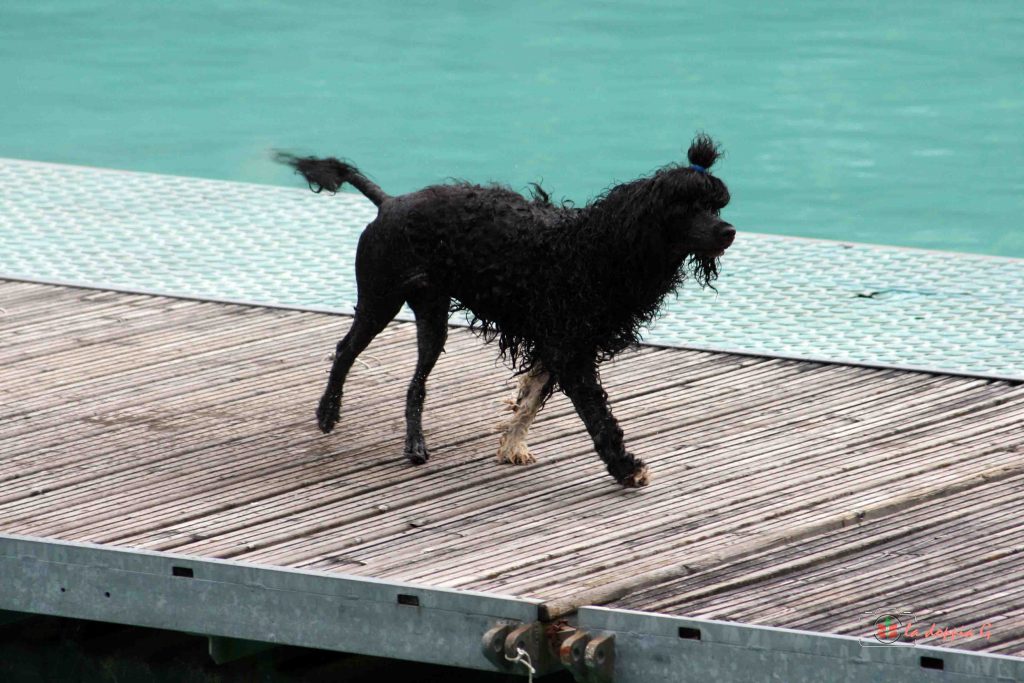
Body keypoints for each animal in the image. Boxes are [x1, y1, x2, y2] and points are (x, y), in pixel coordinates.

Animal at [276, 135, 733, 485]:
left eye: (716, 206)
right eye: (687, 208)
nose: (729, 231)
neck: (598, 250)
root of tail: (388, 202)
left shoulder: (557, 343)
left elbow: (528, 400)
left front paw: (512, 443)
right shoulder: (569, 350)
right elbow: (598, 416)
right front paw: (625, 467)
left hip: (431, 315)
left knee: (415, 384)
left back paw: (415, 444)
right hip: (379, 299)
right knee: (345, 351)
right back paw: (328, 412)